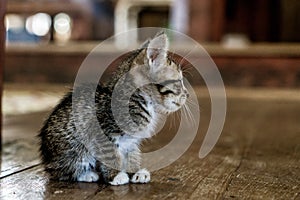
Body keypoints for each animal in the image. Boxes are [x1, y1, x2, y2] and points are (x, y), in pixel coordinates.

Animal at [37, 31, 188, 186]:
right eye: (179, 81)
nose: (187, 94)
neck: (140, 100)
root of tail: (47, 159)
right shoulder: (102, 133)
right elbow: (110, 154)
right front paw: (116, 176)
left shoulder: (131, 140)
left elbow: (132, 153)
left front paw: (135, 172)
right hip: (75, 148)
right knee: (61, 171)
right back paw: (86, 174)